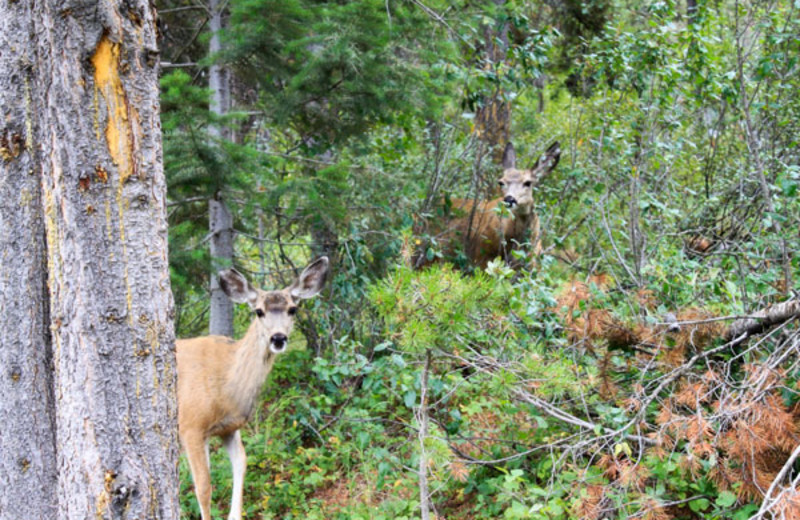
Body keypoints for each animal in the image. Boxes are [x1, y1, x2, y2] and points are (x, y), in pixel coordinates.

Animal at [177, 258, 328, 520]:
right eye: (259, 311)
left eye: (293, 309)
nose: (278, 338)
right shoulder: (191, 425)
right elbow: (204, 486)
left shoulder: (229, 427)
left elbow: (242, 463)